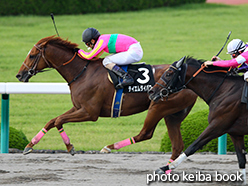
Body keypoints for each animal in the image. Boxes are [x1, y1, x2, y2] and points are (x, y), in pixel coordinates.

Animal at [16, 36, 198, 161]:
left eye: (32, 56)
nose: (19, 75)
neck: (82, 73)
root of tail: (188, 81)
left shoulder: (90, 113)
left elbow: (59, 120)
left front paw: (69, 147)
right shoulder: (78, 107)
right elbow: (52, 121)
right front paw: (29, 145)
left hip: (158, 106)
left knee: (145, 134)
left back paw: (109, 147)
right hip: (172, 114)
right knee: (176, 146)